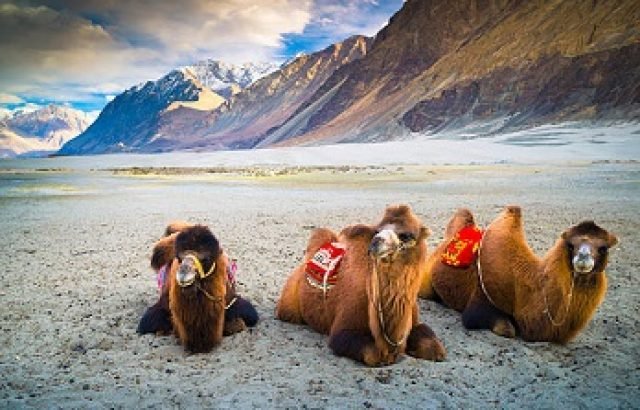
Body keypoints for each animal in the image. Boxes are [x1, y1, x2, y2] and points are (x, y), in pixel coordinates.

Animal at [274, 203, 444, 366]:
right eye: (377, 231)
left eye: (407, 235)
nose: (376, 242)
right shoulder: (344, 328)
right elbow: (372, 354)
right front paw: (389, 357)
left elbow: (434, 347)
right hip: (289, 304)